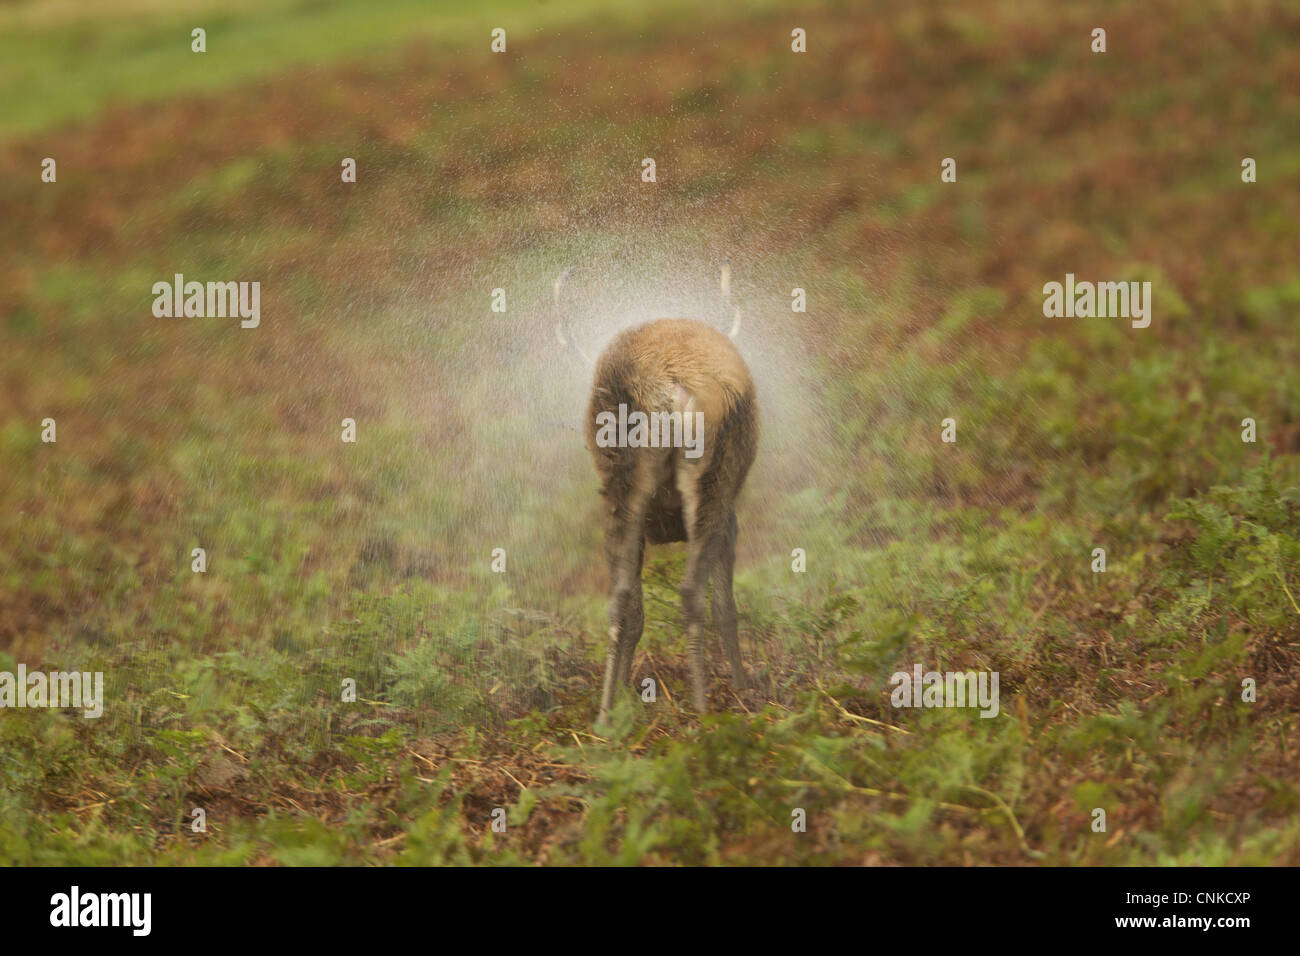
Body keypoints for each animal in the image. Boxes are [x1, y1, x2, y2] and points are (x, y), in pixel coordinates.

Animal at [554, 263, 759, 725]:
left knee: (622, 600)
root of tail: (673, 389)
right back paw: (699, 709)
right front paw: (742, 687)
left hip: (624, 481)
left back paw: (606, 714)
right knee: (685, 592)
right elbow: (726, 606)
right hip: (712, 479)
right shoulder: (731, 521)